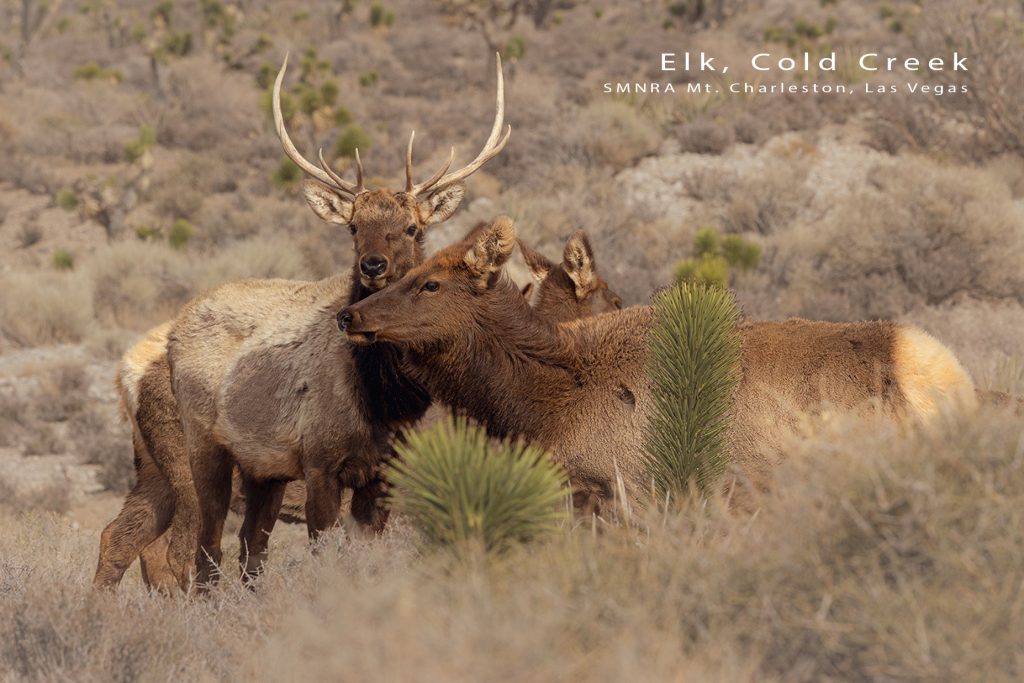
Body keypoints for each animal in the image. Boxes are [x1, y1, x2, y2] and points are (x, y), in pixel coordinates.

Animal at [93, 52, 511, 591]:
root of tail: (127, 367)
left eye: (412, 227)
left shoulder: (382, 474)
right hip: (197, 452)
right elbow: (326, 557)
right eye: (354, 227)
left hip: (211, 469)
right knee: (190, 552)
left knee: (150, 540)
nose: (372, 266)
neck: (383, 402)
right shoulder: (320, 463)